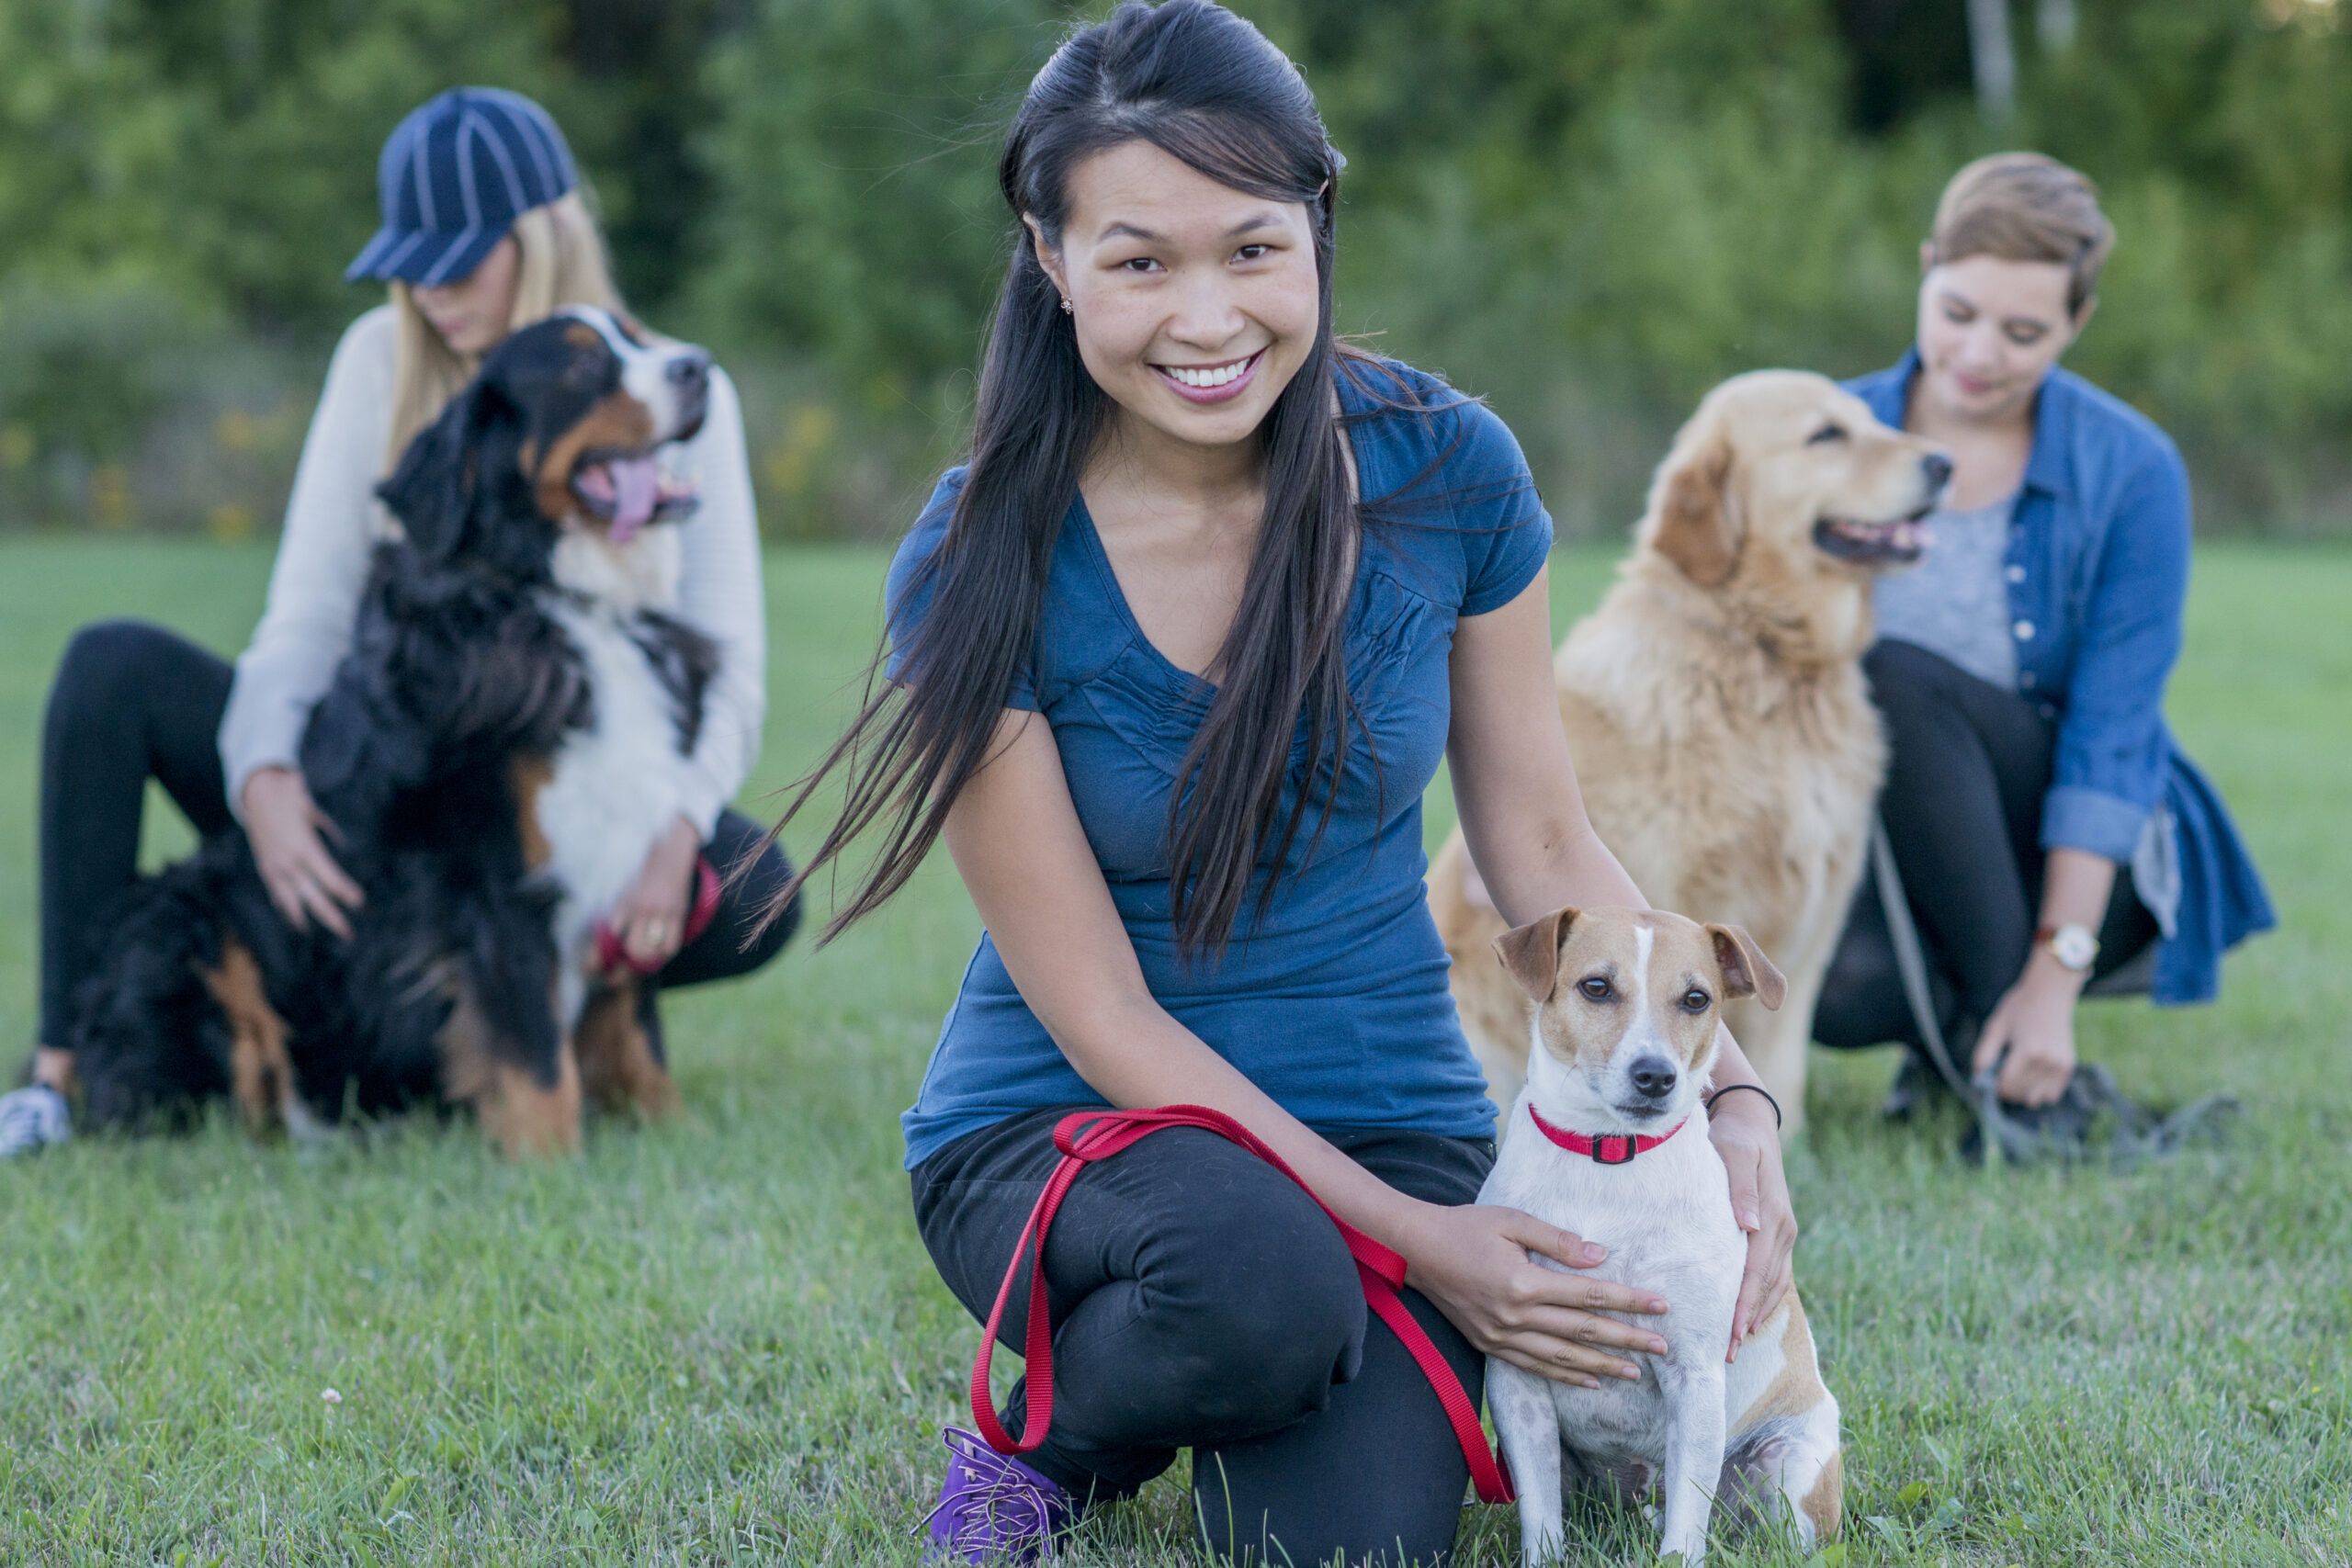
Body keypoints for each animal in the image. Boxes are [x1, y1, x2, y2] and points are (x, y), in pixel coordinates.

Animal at [1486, 902, 1834, 1561]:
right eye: (1597, 986)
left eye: (1696, 998)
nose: (1655, 1075)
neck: (1609, 1159)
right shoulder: (1519, 1379)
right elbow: (1540, 1516)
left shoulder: (1694, 1377)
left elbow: (1686, 1521)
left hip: (1790, 1469)